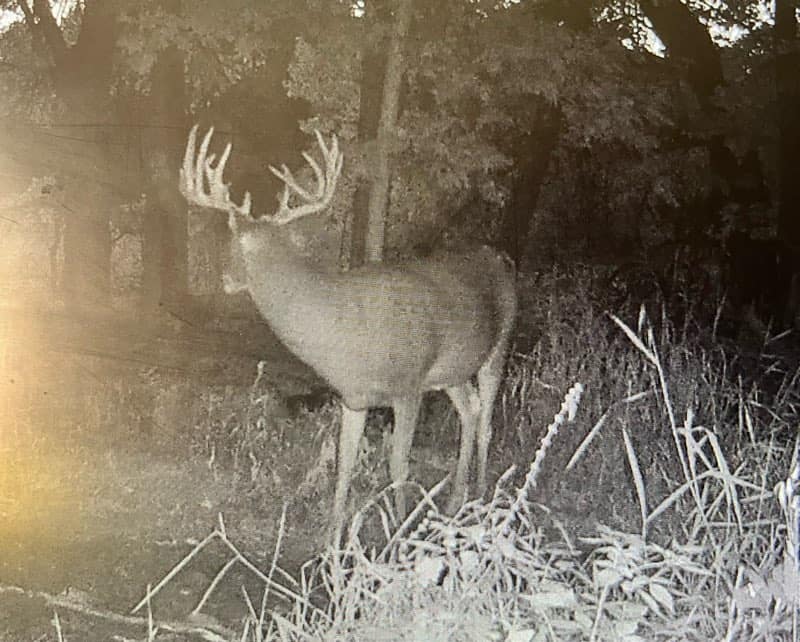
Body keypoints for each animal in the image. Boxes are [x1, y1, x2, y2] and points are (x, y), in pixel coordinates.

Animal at [179, 124, 517, 540]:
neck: (344, 335)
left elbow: (398, 465)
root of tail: (499, 257)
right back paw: (456, 501)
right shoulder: (352, 397)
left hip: (498, 346)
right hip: (453, 371)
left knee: (486, 420)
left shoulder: (409, 386)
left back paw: (483, 495)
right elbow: (344, 463)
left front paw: (399, 531)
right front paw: (331, 541)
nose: (225, 278)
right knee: (470, 411)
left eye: (233, 239)